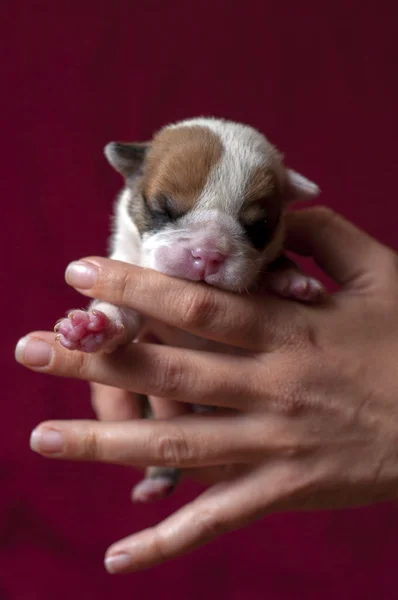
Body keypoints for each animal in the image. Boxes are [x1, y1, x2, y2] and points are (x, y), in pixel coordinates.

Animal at [53, 117, 324, 502]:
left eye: (258, 227)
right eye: (164, 210)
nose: (207, 254)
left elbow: (280, 260)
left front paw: (295, 282)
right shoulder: (132, 274)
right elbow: (123, 312)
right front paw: (93, 327)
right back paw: (155, 481)